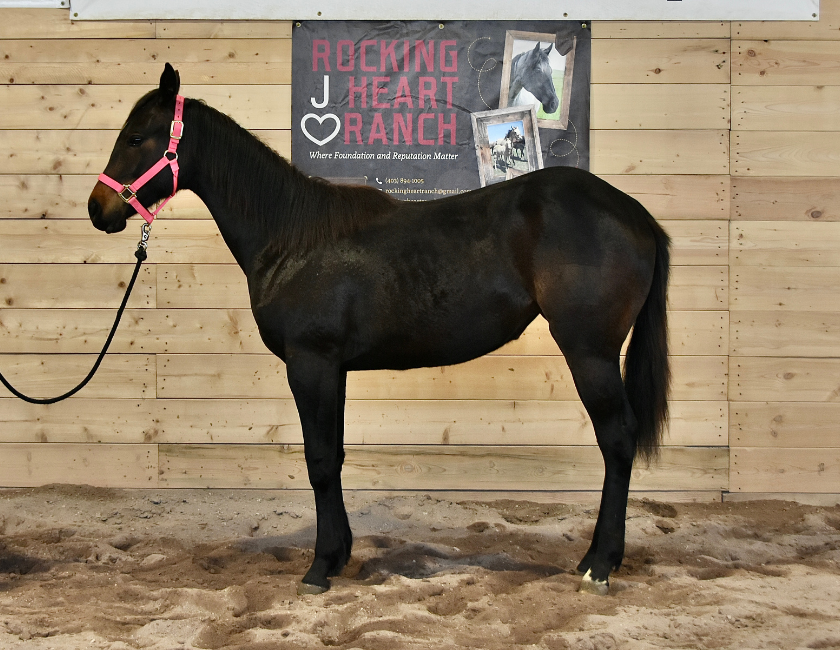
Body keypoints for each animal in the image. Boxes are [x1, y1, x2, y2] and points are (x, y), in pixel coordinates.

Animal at [88, 64, 670, 597]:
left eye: (136, 138)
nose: (99, 208)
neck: (292, 237)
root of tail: (635, 213)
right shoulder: (334, 369)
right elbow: (336, 456)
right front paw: (341, 553)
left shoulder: (311, 363)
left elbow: (320, 461)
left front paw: (319, 568)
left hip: (590, 352)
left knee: (618, 439)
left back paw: (598, 565)